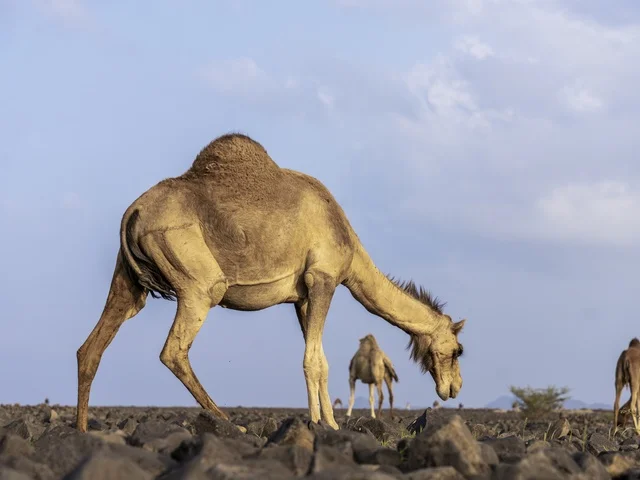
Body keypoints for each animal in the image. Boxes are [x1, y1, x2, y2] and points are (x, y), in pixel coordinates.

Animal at [75, 133, 466, 433]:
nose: (455, 387)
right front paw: (323, 425)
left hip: (127, 280)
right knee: (174, 349)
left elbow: (319, 357)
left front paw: (327, 423)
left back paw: (81, 432)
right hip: (197, 278)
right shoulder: (323, 278)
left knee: (92, 347)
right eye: (457, 350)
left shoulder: (302, 297)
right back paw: (231, 423)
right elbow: (315, 360)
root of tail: (133, 211)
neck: (352, 251)